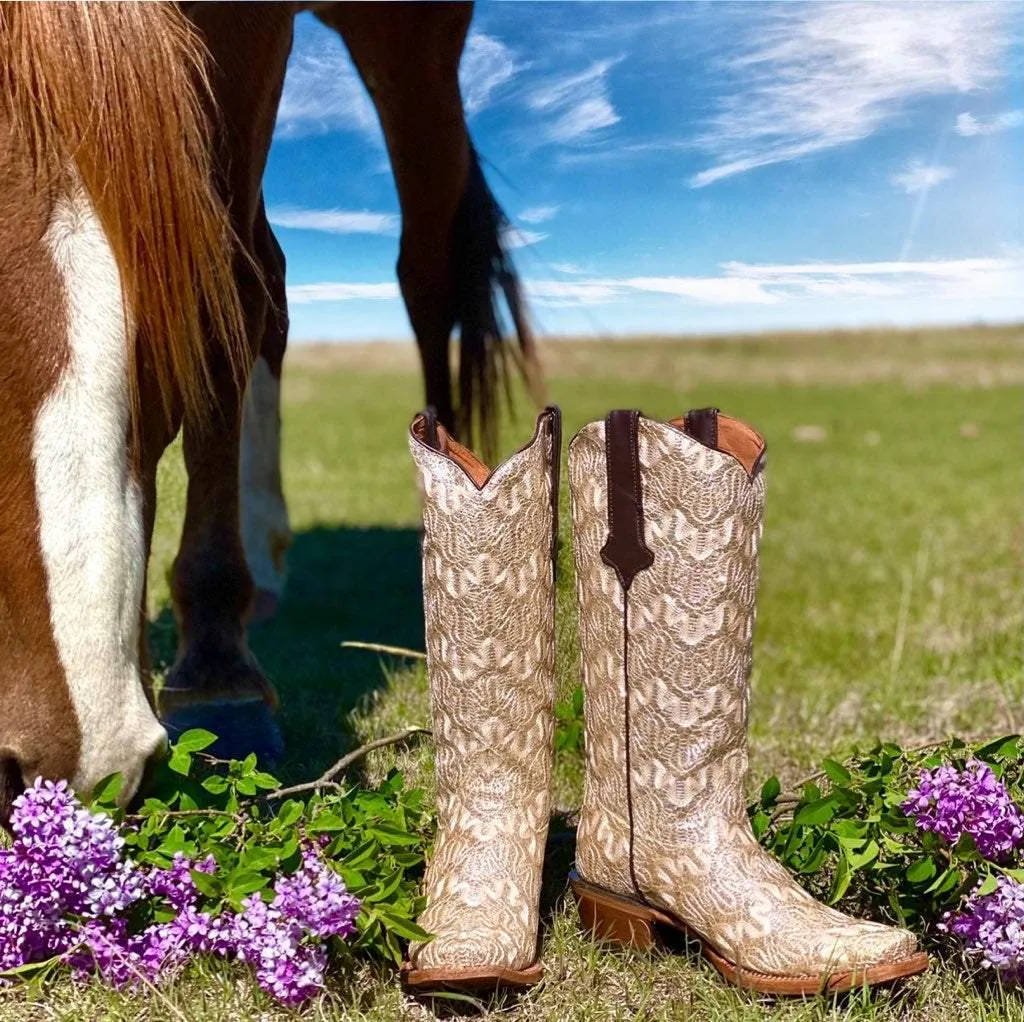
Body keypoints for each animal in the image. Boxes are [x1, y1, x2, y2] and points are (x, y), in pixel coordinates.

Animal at [2, 0, 536, 815]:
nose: (66, 769)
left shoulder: (249, 35)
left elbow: (227, 285)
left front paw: (217, 677)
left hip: (413, 41)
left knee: (426, 272)